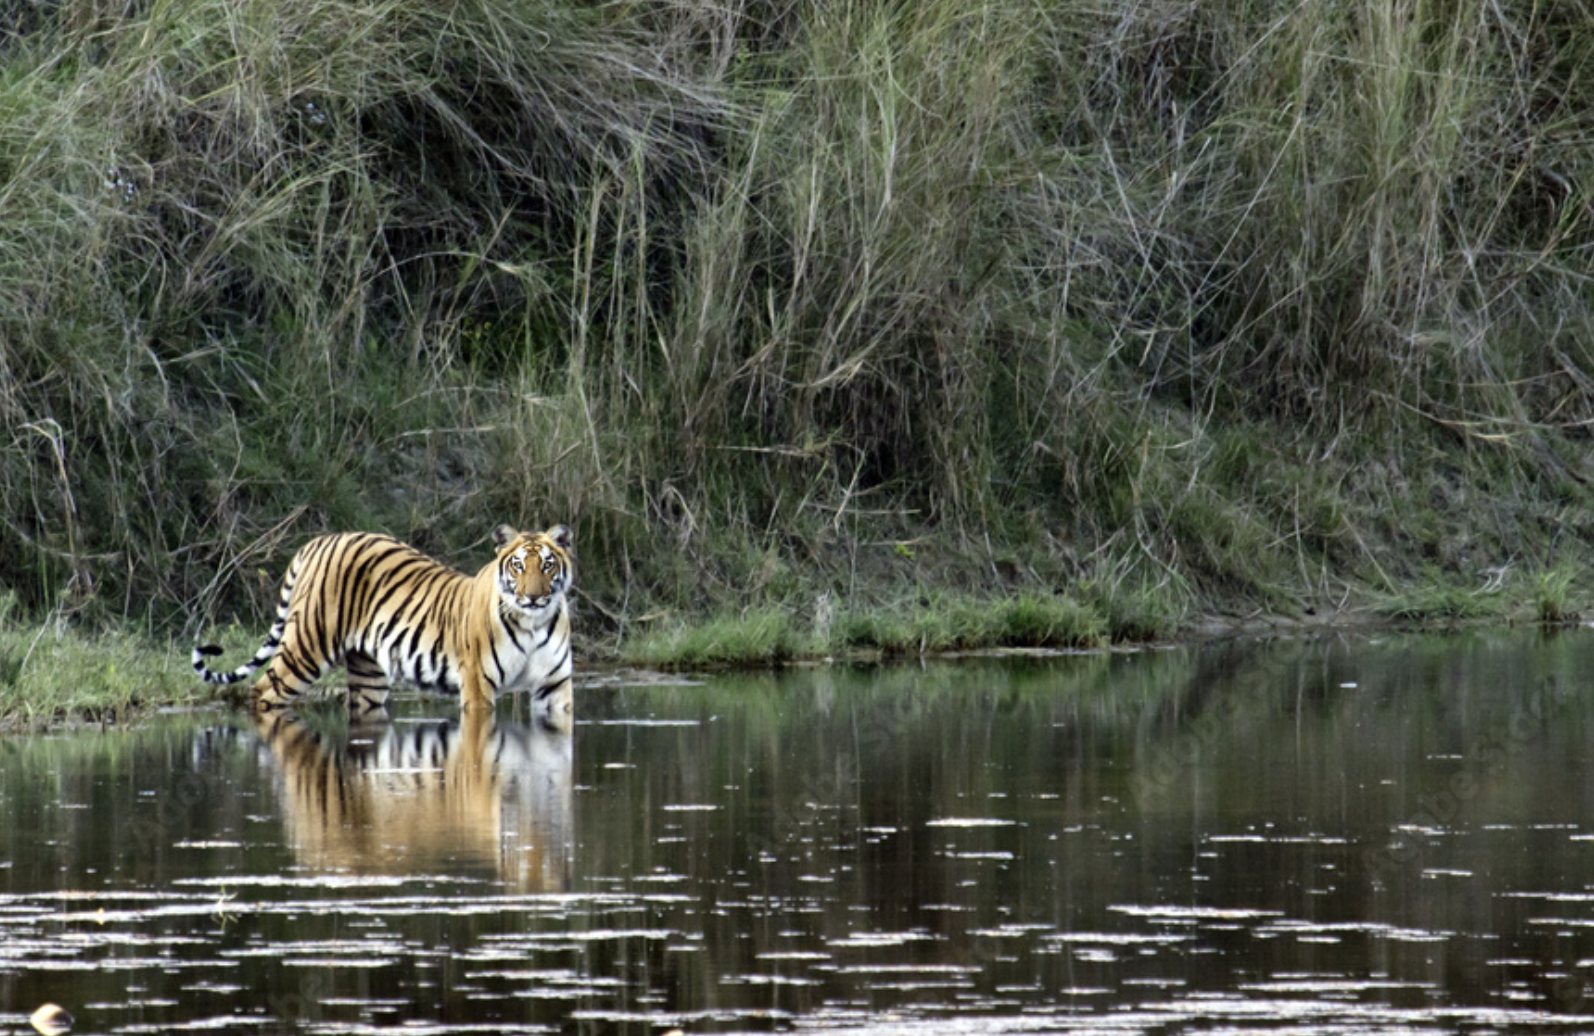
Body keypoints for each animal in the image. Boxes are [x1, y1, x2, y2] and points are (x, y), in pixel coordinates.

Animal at [193, 519, 577, 723]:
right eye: (518, 566)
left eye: (547, 565)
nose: (533, 597)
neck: (533, 623)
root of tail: (319, 541)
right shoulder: (478, 684)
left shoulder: (554, 686)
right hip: (306, 648)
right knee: (261, 691)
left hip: (368, 674)